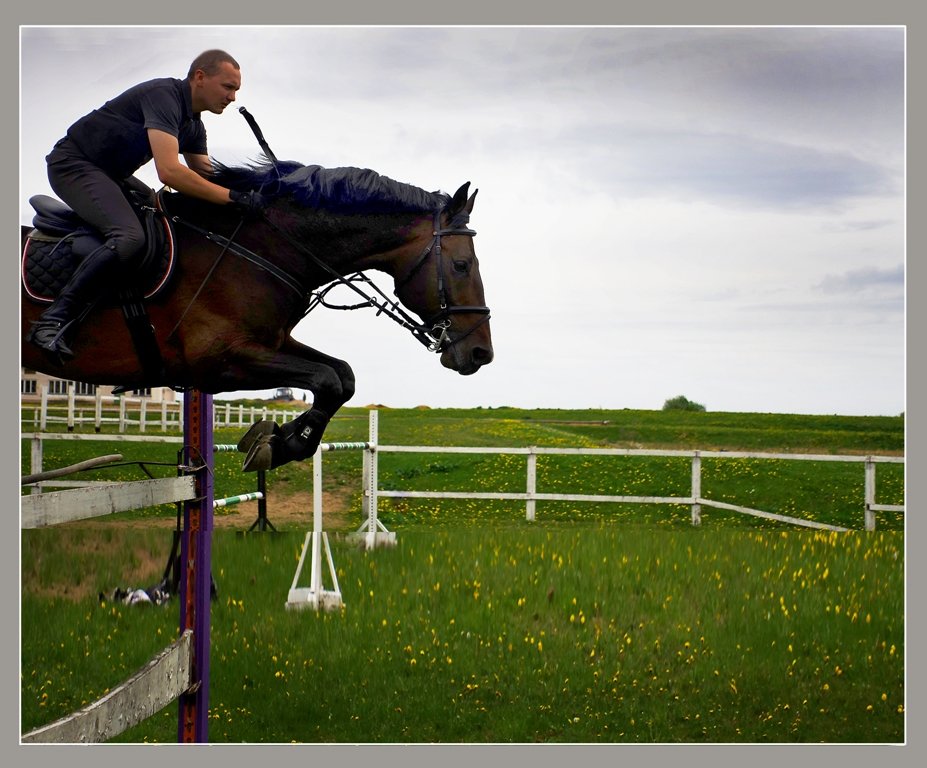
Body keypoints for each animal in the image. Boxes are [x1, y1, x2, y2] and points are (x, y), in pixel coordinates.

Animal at [21, 161, 492, 472]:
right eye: (462, 265)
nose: (480, 354)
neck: (255, 251)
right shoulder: (220, 362)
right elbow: (326, 380)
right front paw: (282, 442)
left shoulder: (271, 342)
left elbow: (343, 376)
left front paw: (282, 439)